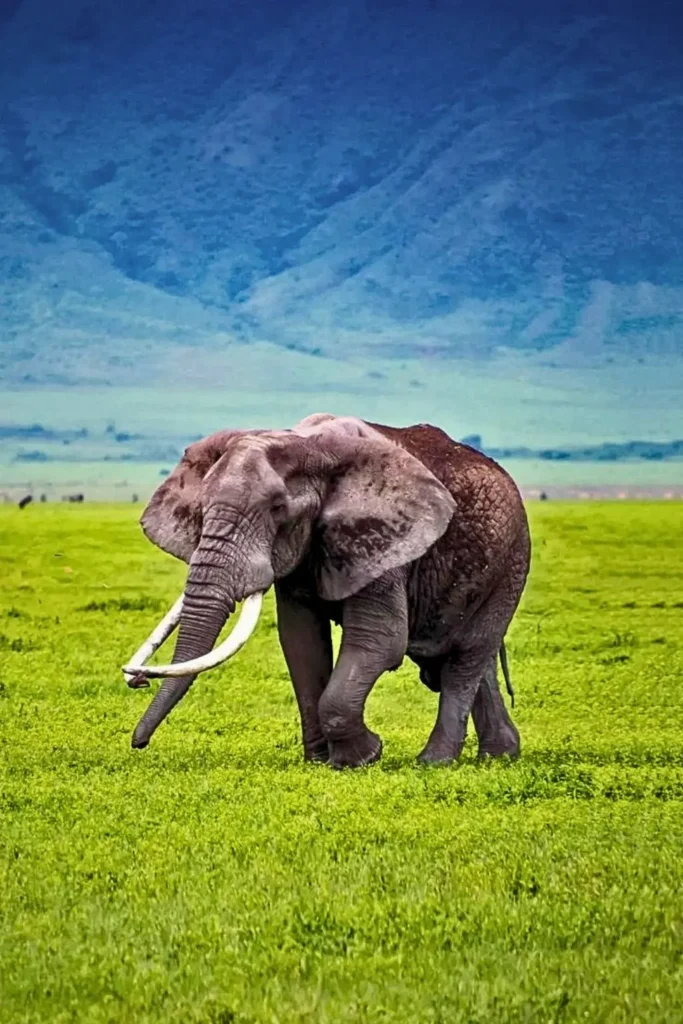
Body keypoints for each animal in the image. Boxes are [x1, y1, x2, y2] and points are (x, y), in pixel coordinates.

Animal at [123, 413, 531, 768]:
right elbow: (301, 641)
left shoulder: (384, 539)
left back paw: (434, 762)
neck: (306, 444)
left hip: (511, 561)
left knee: (467, 658)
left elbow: (380, 642)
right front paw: (321, 760)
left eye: (277, 508)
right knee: (471, 661)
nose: (137, 680)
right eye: (202, 506)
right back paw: (498, 756)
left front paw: (362, 757)